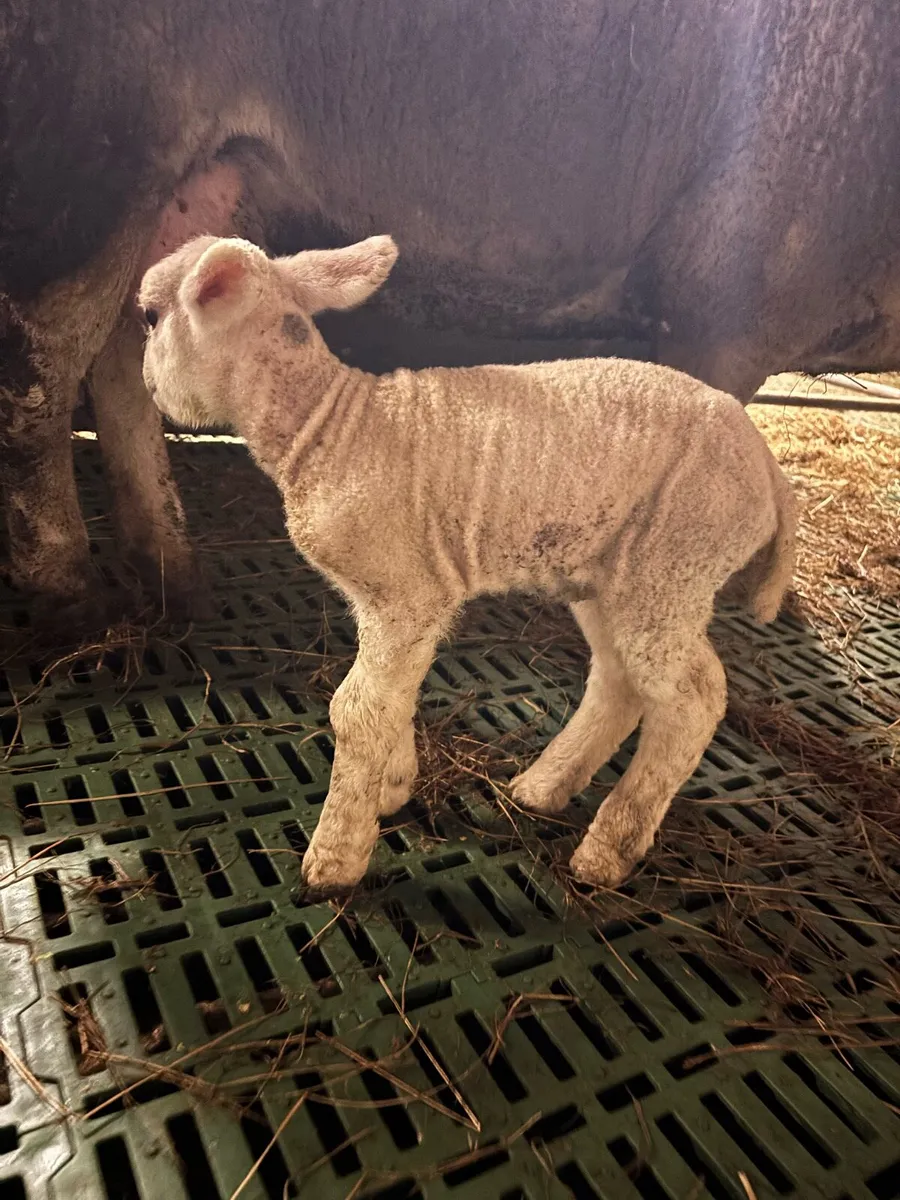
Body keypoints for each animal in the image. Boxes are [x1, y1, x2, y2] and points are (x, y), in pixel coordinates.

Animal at [138, 233, 796, 892]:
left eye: (148, 316)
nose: (146, 382)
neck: (330, 423)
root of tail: (770, 468)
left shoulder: (405, 591)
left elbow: (357, 710)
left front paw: (336, 856)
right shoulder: (397, 599)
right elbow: (393, 698)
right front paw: (392, 789)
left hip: (676, 560)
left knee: (694, 698)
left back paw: (608, 849)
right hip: (609, 574)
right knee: (619, 680)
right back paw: (542, 787)